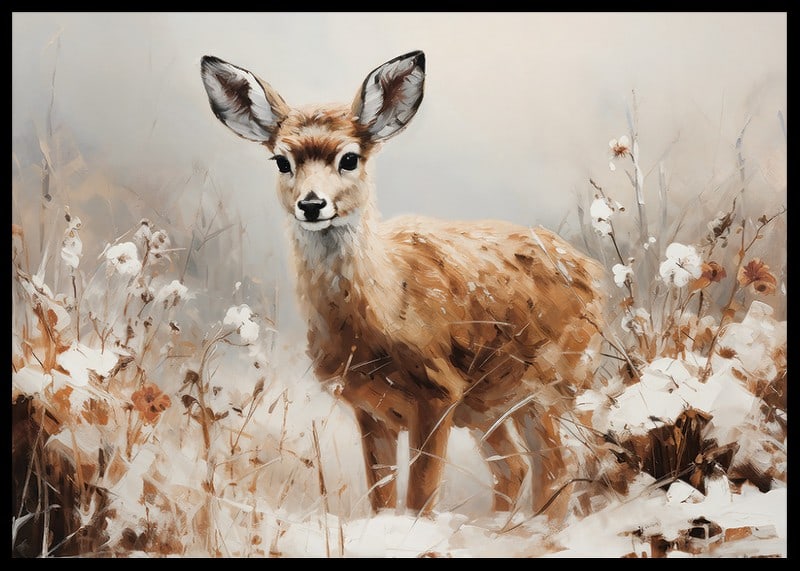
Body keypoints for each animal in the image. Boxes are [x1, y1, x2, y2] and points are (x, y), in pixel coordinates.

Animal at [200, 50, 607, 521]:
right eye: (282, 161)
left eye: (350, 158)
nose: (312, 204)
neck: (381, 311)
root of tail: (593, 273)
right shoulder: (369, 407)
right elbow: (381, 495)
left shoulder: (438, 391)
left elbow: (420, 496)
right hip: (490, 405)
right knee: (518, 466)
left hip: (554, 382)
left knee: (559, 463)